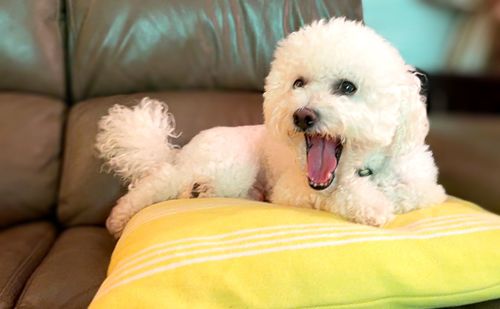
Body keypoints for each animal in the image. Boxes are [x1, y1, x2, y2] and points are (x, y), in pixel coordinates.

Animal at [96, 18, 446, 237]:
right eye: (298, 83)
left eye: (348, 87)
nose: (303, 116)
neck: (365, 168)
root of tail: (183, 153)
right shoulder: (292, 190)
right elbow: (338, 196)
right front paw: (370, 205)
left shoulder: (426, 188)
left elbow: (412, 193)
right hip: (231, 165)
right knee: (163, 180)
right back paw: (120, 216)